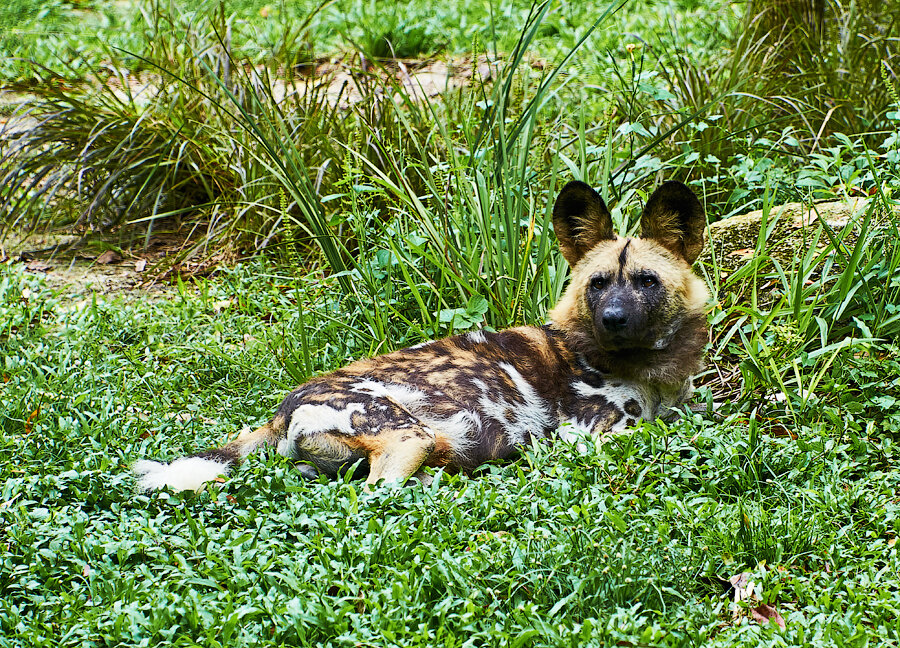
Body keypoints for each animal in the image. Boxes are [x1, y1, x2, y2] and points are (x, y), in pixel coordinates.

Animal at [135, 178, 712, 492]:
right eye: (598, 283)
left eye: (646, 281)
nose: (612, 318)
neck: (653, 370)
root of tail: (283, 407)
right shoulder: (590, 435)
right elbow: (666, 430)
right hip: (409, 434)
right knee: (375, 493)